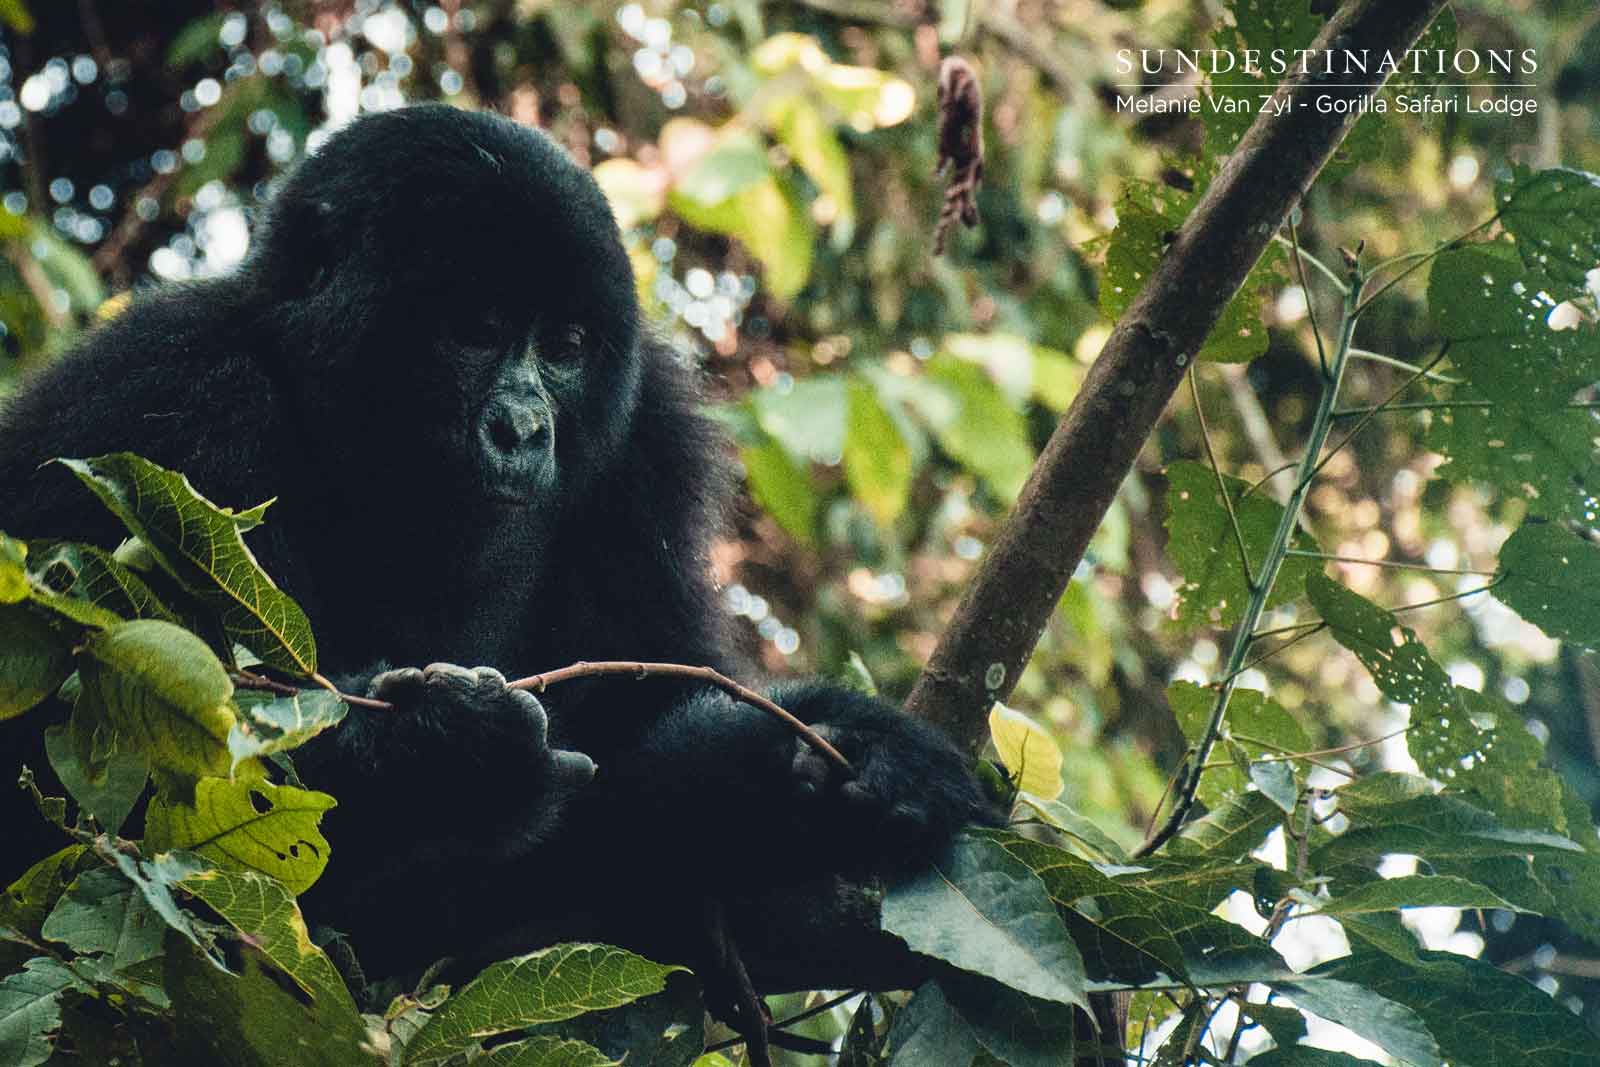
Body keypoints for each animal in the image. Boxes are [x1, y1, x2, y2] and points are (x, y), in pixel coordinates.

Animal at [0, 103, 992, 979]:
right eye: (474, 330)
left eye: (565, 344)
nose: (523, 427)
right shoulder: (163, 398)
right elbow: (94, 784)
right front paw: (444, 754)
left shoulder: (648, 443)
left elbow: (643, 724)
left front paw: (799, 757)